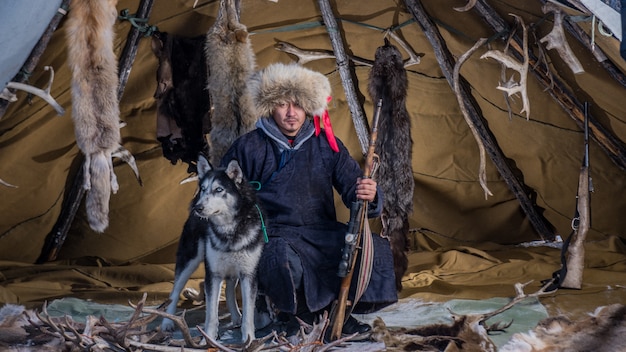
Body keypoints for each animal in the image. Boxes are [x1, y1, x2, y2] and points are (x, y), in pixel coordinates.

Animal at [161, 155, 264, 342]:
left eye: (219, 189)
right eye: (203, 189)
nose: (198, 208)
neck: (229, 229)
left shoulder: (248, 273)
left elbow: (249, 314)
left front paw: (249, 339)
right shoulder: (213, 273)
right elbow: (211, 314)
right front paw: (208, 338)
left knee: (229, 289)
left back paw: (236, 316)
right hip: (189, 259)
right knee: (175, 291)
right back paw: (167, 323)